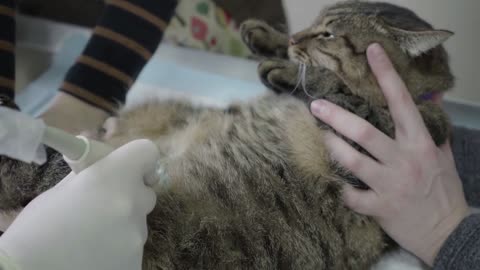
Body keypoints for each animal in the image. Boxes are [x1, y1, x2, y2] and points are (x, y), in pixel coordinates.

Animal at [0, 1, 454, 268]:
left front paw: (291, 68)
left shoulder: (368, 139)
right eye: (312, 21)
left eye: (328, 33)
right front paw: (269, 39)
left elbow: (333, 87)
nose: (295, 35)